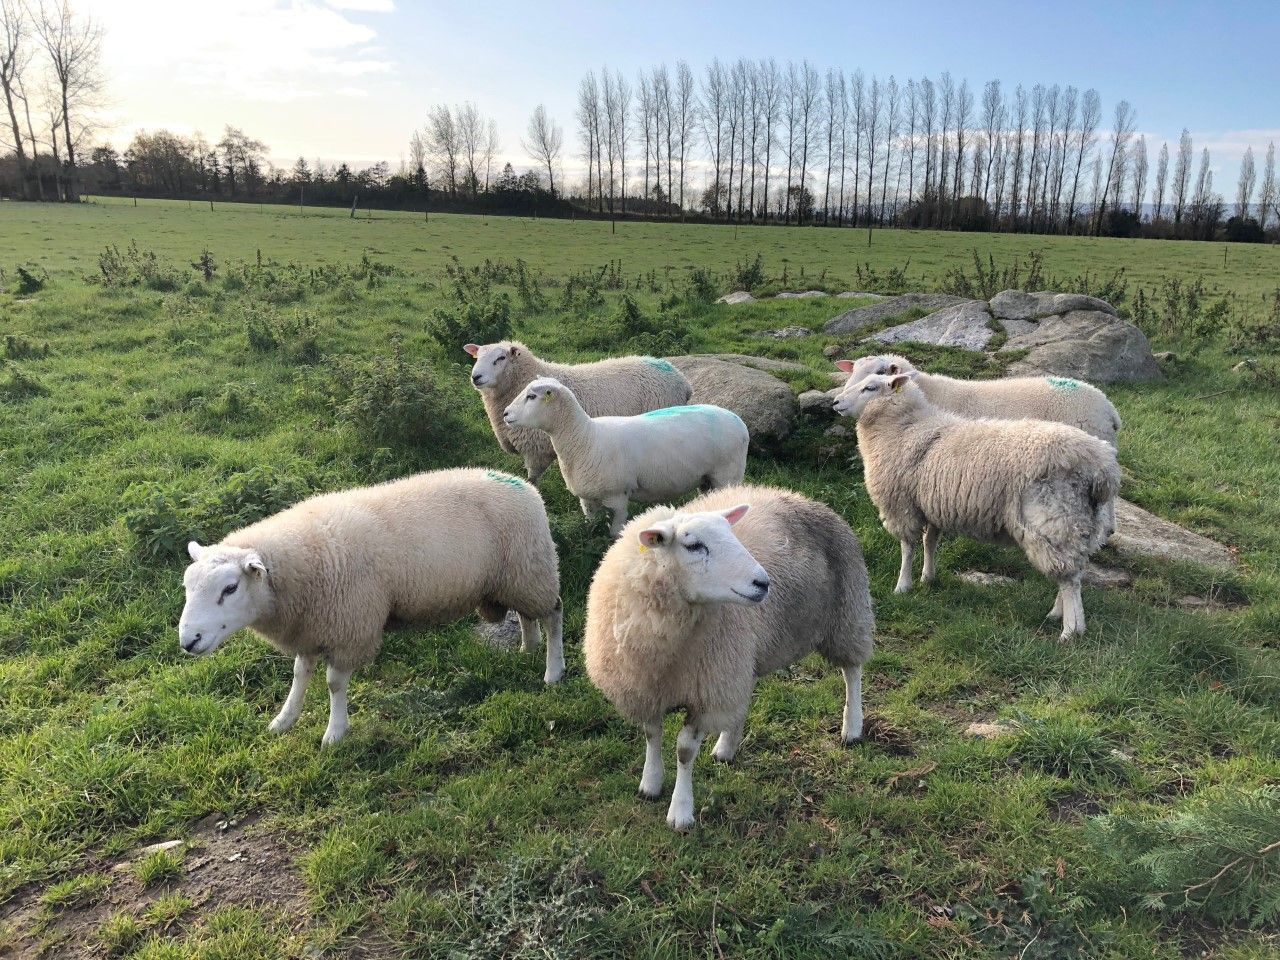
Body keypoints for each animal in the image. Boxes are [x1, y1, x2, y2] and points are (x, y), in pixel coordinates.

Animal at [177, 467, 563, 746]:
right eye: (187, 586)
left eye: (230, 588)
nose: (188, 641)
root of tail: (525, 487)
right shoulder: (311, 627)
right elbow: (300, 675)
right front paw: (284, 719)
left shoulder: (350, 626)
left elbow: (334, 683)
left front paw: (335, 733)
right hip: (514, 577)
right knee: (528, 615)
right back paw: (529, 648)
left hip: (532, 567)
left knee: (553, 613)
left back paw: (553, 671)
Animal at [464, 340, 693, 484]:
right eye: (476, 357)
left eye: (501, 358)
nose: (476, 377)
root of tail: (682, 380)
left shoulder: (535, 450)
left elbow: (533, 480)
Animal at [503, 377, 750, 537]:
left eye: (531, 396)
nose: (505, 413)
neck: (585, 439)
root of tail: (739, 423)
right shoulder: (587, 499)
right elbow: (591, 525)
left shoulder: (618, 497)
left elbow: (615, 533)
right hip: (708, 480)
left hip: (728, 475)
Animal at [584, 485, 875, 830]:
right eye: (693, 545)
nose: (763, 582)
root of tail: (801, 497)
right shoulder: (645, 686)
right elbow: (651, 734)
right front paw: (650, 783)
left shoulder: (706, 692)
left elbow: (684, 751)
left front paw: (680, 811)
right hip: (744, 654)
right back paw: (726, 746)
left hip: (846, 612)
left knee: (852, 671)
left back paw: (852, 726)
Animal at [833, 373, 1120, 640]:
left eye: (870, 387)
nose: (835, 402)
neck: (905, 427)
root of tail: (1102, 467)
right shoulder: (932, 504)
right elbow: (930, 542)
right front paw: (928, 577)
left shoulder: (901, 505)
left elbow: (908, 547)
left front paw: (903, 585)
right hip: (1080, 522)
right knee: (1074, 571)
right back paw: (1057, 613)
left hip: (1053, 518)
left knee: (1069, 578)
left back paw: (1071, 630)